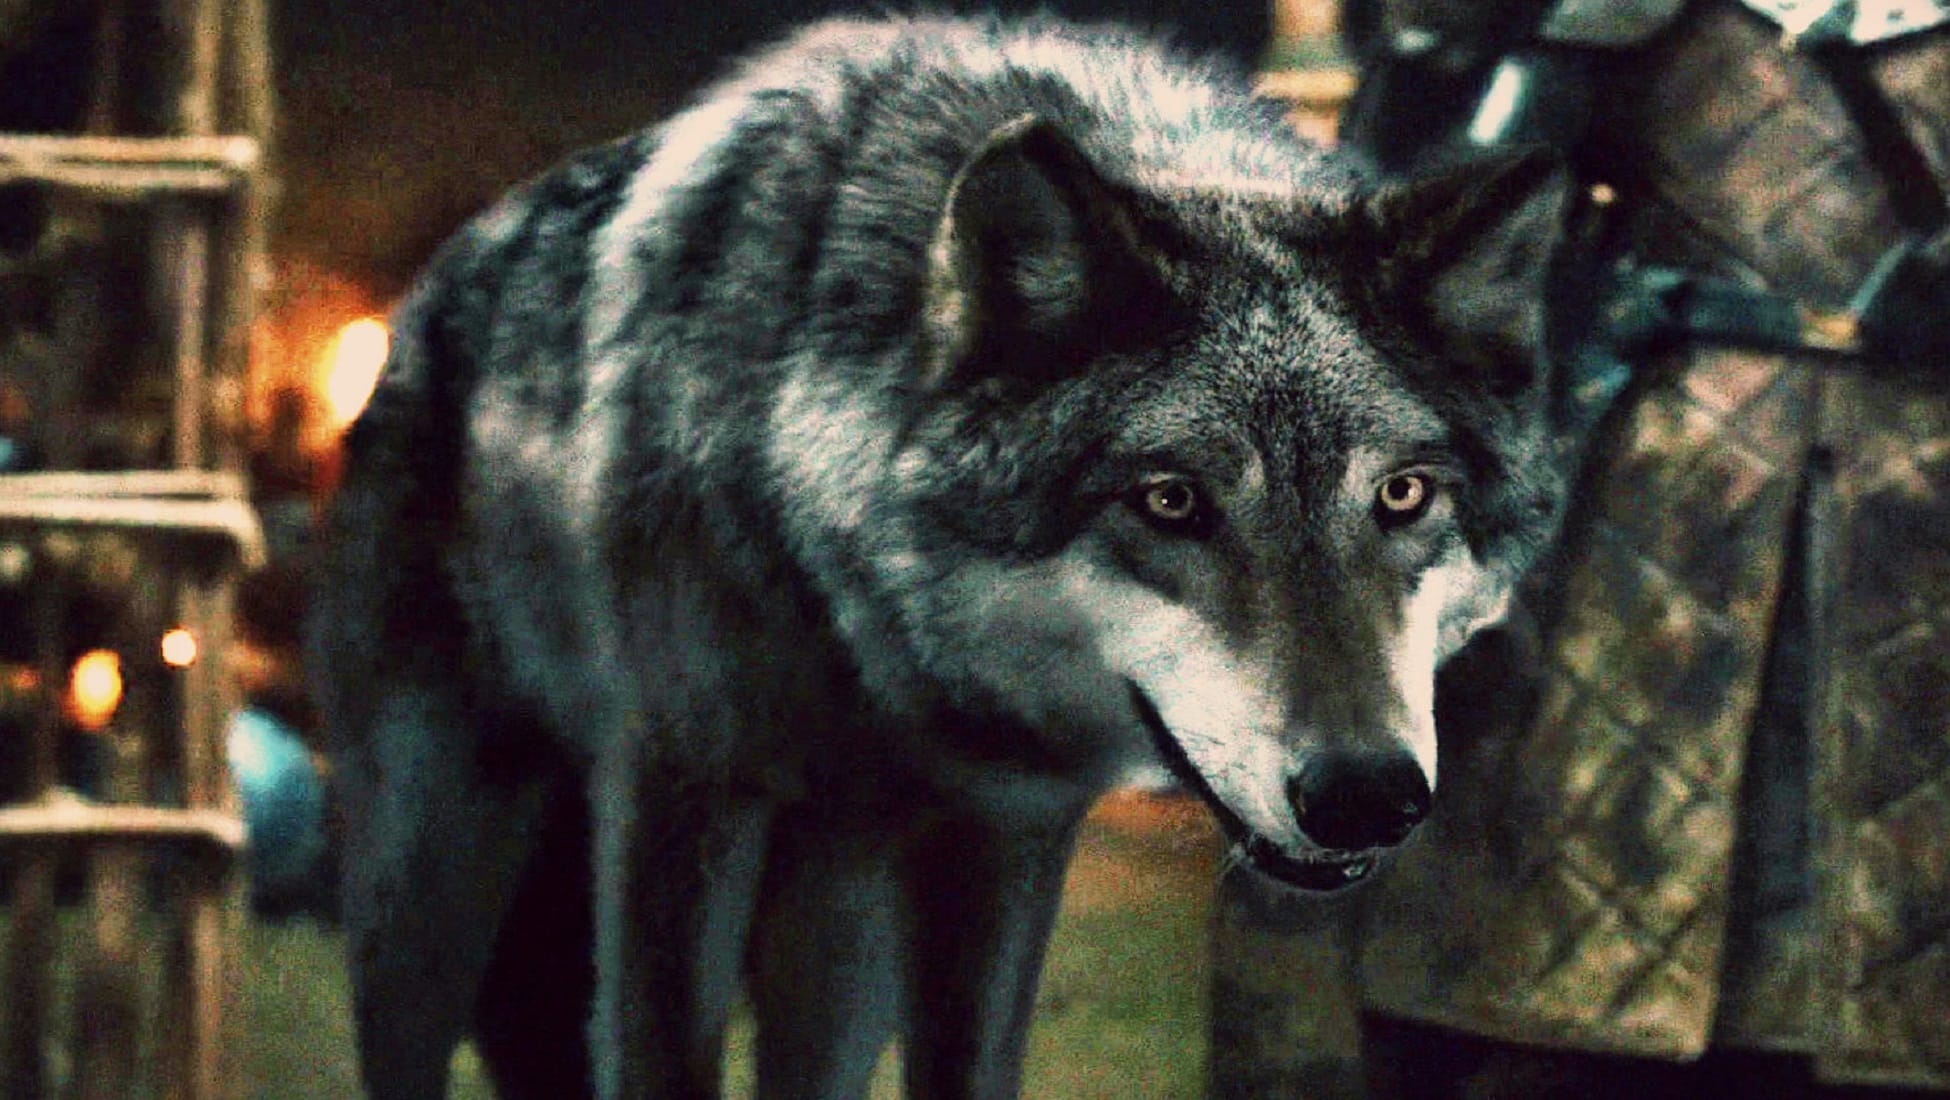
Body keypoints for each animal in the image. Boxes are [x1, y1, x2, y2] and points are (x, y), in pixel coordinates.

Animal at [308, 15, 1568, 1100]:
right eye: (1169, 500)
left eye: (1402, 493)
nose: (1365, 794)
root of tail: (423, 300)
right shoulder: (677, 808)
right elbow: (660, 1060)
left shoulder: (1008, 837)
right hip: (424, 897)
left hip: (839, 933)